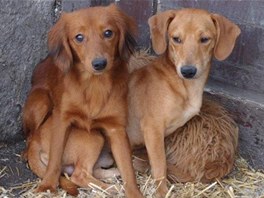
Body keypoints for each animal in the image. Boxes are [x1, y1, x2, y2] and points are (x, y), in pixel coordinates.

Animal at [22, 4, 142, 198]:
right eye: (79, 37)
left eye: (108, 33)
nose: (99, 63)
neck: (94, 85)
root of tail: (35, 143)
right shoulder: (62, 119)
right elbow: (55, 159)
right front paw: (48, 185)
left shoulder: (116, 129)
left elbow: (128, 168)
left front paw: (134, 191)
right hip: (85, 131)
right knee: (78, 175)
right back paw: (109, 187)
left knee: (93, 171)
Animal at [127, 8, 240, 197]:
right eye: (176, 39)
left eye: (205, 39)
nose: (188, 71)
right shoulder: (152, 128)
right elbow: (159, 166)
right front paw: (162, 191)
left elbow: (159, 164)